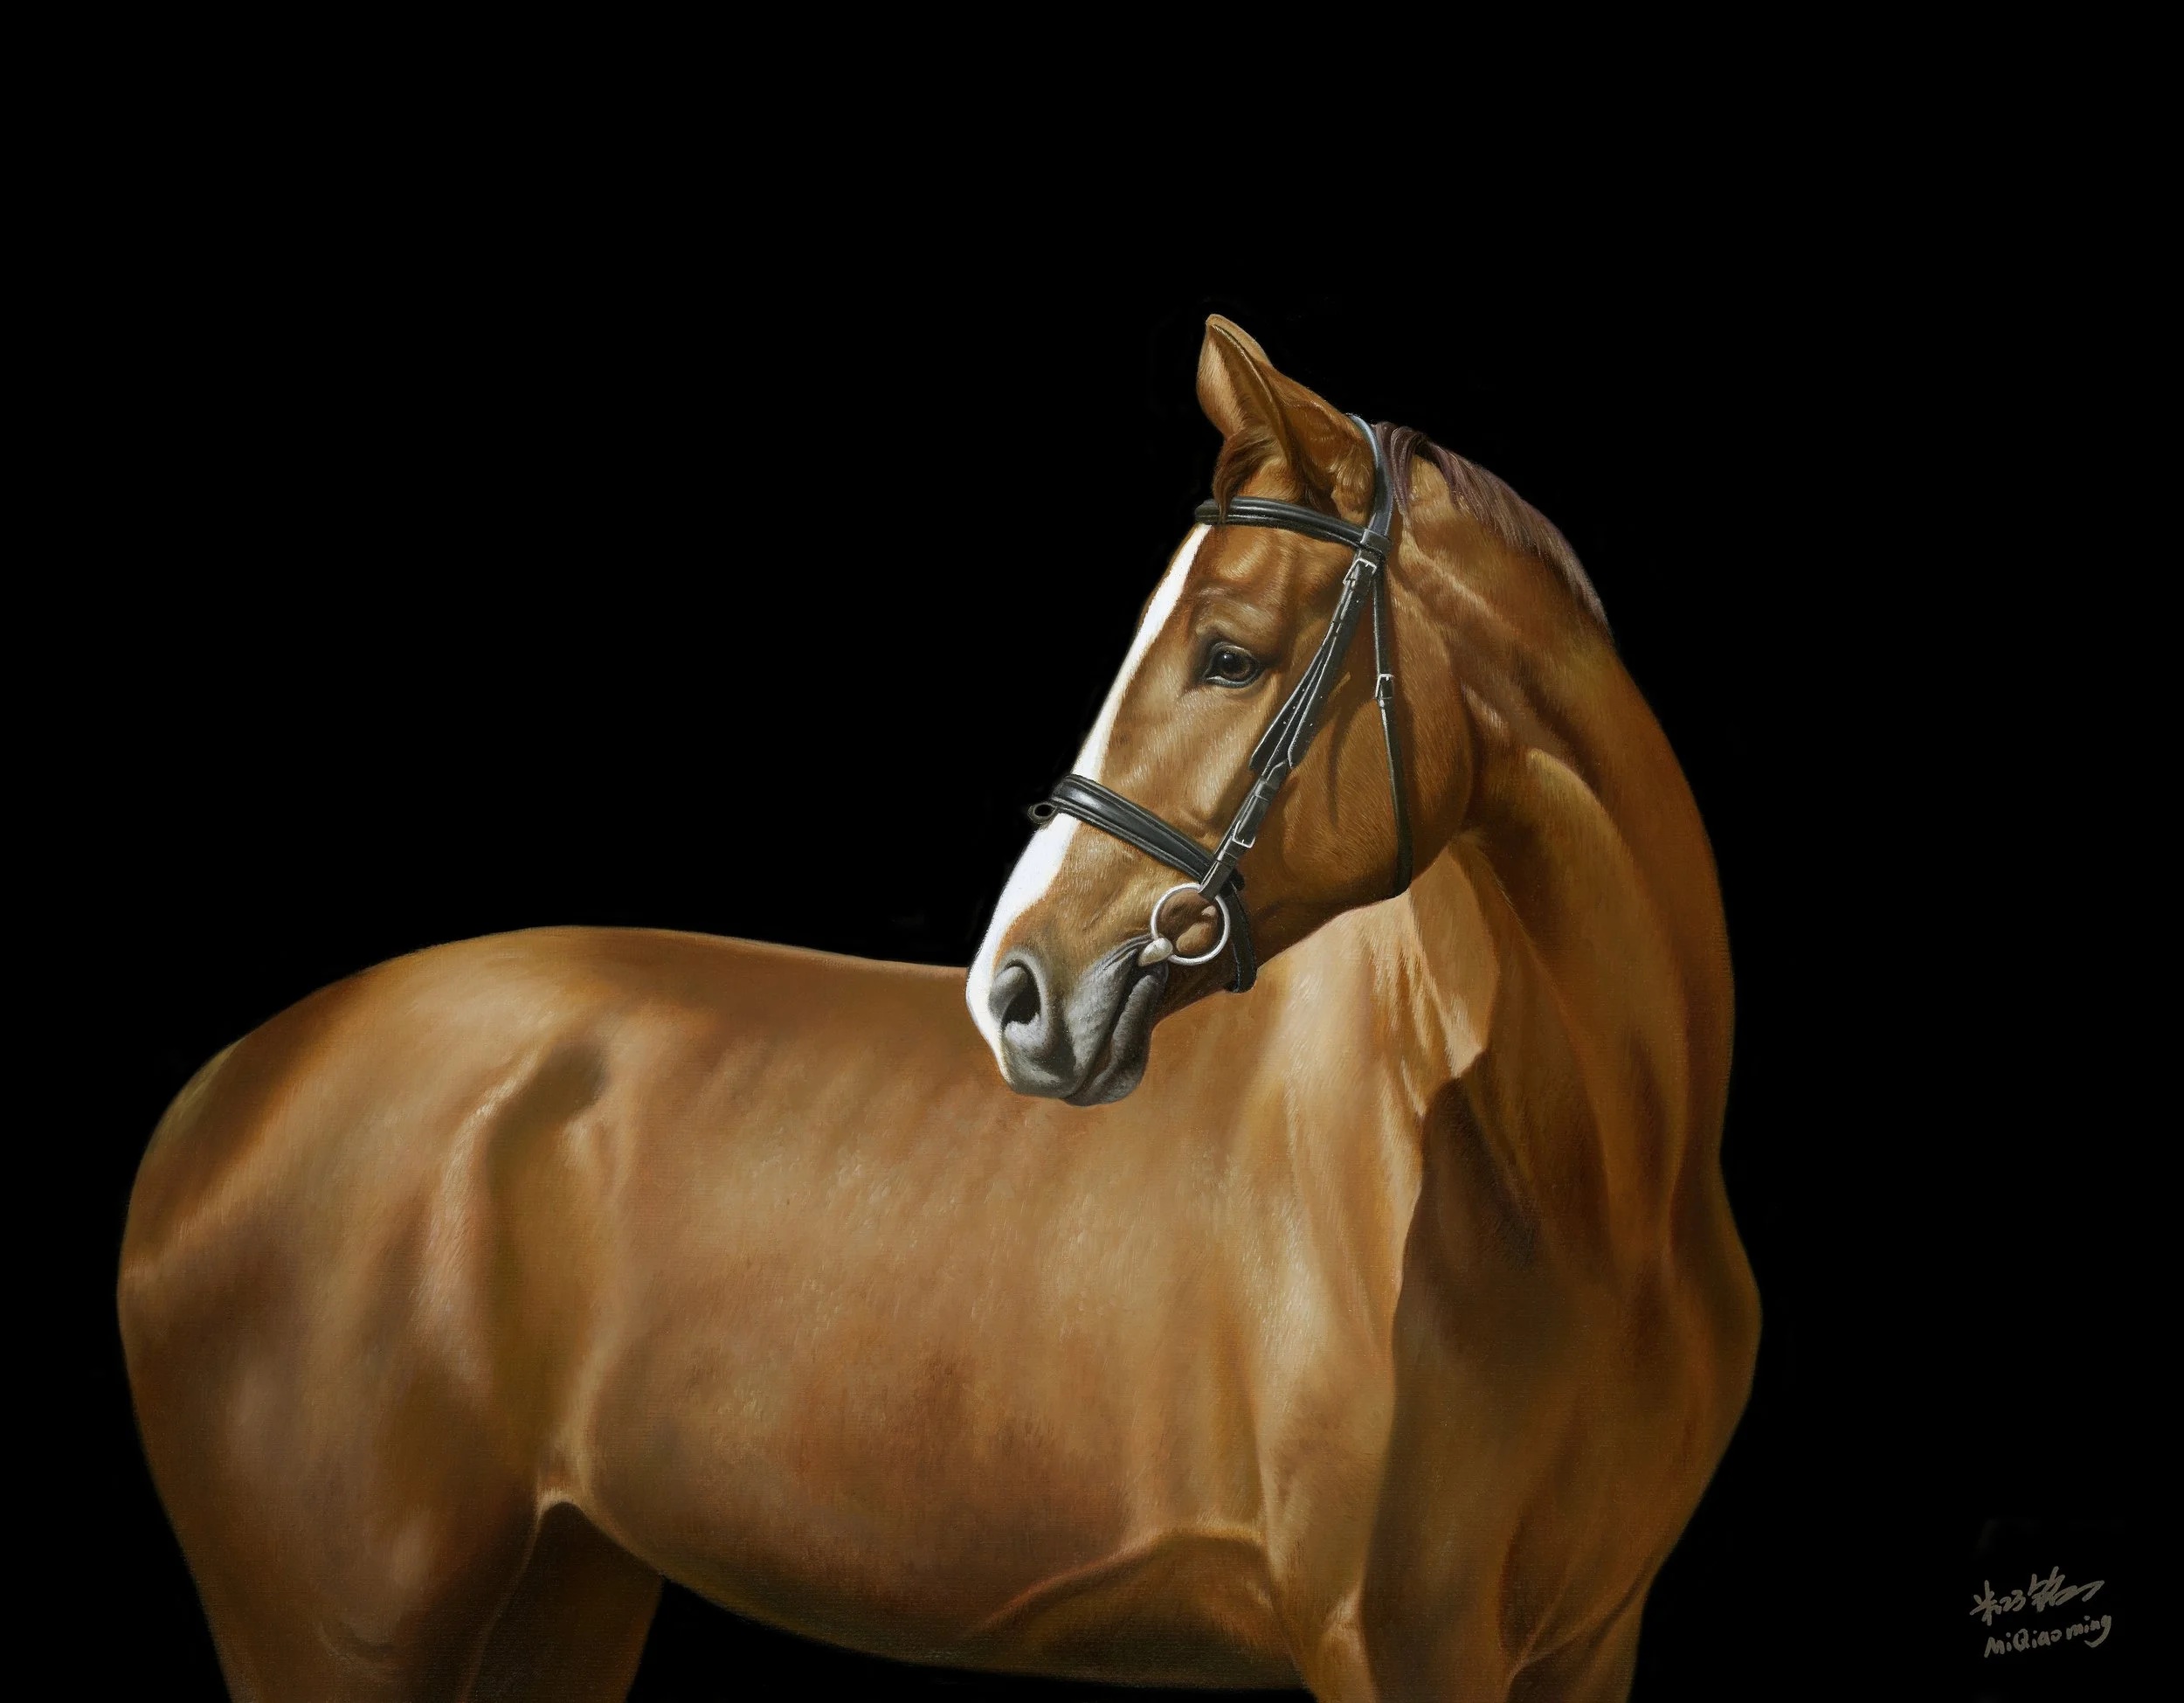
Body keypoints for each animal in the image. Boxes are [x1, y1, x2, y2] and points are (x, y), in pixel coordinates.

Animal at [119, 316, 1758, 1702]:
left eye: (1230, 652)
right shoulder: (1397, 1642)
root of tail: (229, 1088)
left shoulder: (1582, 1646)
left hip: (560, 1593)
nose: (1017, 991)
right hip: (342, 1635)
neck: (1576, 1192)